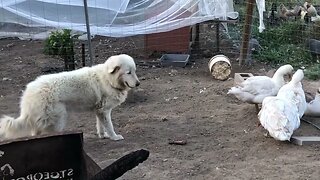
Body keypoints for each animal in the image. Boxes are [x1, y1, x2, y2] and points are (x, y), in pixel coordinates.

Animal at [0, 53, 140, 141]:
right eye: (128, 72)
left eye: (135, 71)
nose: (138, 83)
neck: (108, 79)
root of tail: (29, 94)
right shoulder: (104, 111)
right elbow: (109, 126)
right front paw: (114, 137)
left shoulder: (99, 110)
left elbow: (100, 125)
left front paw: (103, 135)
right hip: (58, 119)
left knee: (35, 133)